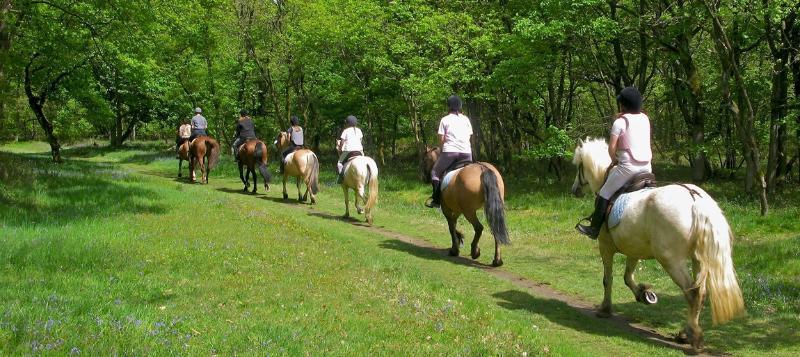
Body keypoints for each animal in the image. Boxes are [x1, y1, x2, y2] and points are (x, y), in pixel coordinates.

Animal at [568, 138, 744, 350]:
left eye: (578, 166)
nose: (574, 190)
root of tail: (695, 201)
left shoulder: (605, 246)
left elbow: (607, 279)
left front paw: (605, 309)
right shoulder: (633, 249)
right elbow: (627, 277)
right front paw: (644, 294)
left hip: (671, 260)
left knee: (692, 293)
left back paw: (693, 336)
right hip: (698, 260)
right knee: (700, 293)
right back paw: (685, 333)